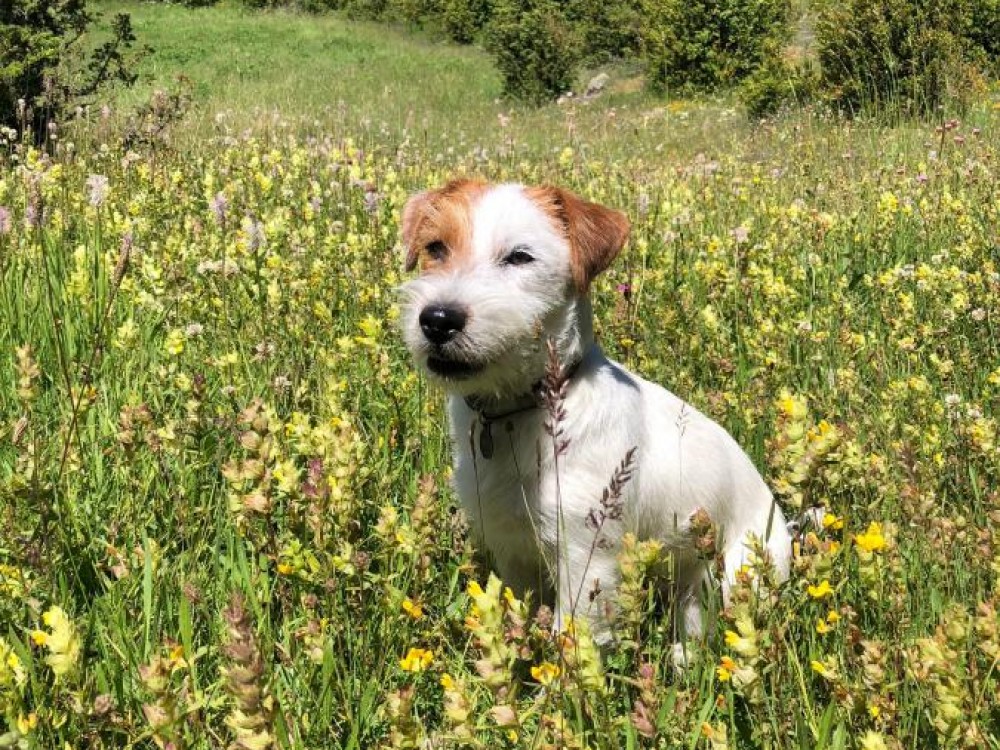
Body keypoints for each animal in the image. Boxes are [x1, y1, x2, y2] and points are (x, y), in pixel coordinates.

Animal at [399, 179, 791, 652]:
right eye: (436, 247)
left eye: (520, 257)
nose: (438, 320)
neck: (520, 410)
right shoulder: (512, 551)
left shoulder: (588, 558)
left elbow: (570, 638)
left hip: (729, 580)